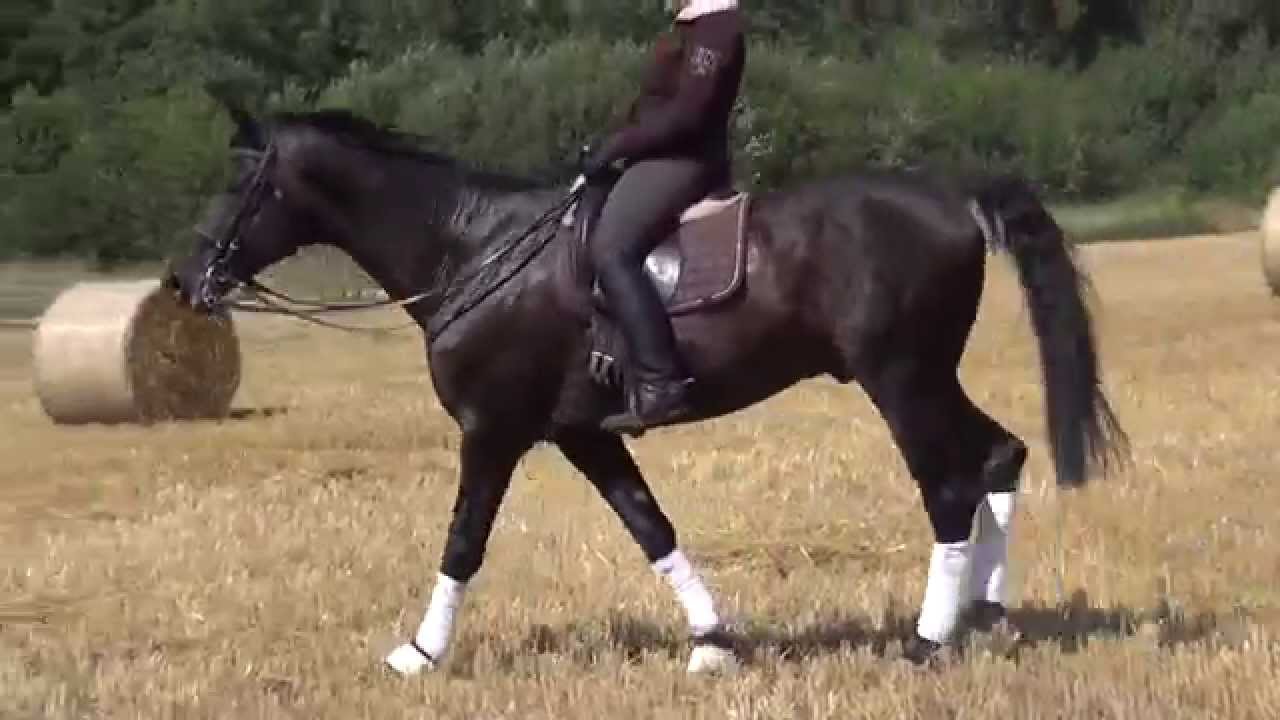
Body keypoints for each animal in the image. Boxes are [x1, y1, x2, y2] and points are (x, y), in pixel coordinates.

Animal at [168, 103, 1129, 675]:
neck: (469, 249)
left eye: (244, 182)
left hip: (900, 378)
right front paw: (712, 642)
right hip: (926, 375)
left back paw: (931, 638)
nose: (184, 280)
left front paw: (420, 653)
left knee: (951, 484)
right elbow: (649, 526)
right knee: (1000, 454)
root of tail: (950, 198)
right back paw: (988, 611)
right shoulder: (585, 434)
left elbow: (464, 541)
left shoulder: (494, 428)